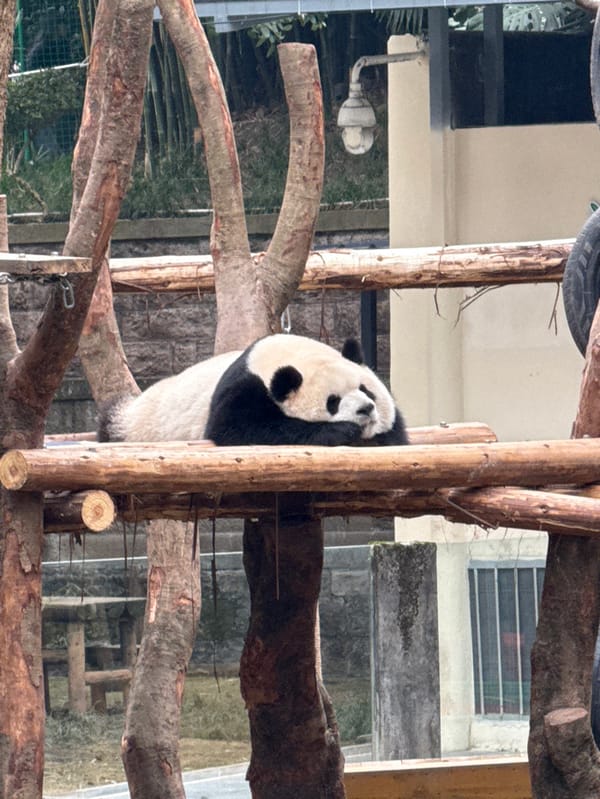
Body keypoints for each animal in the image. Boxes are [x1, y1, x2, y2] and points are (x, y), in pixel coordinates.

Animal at [204, 334, 408, 447]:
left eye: (365, 390)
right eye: (333, 402)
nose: (365, 408)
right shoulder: (245, 390)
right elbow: (237, 429)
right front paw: (341, 431)